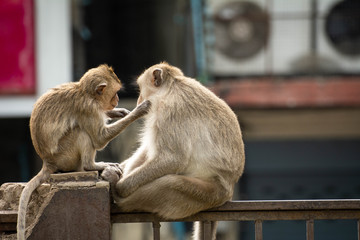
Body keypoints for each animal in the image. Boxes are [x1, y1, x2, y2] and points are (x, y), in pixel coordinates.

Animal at [17, 63, 150, 240]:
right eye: (115, 92)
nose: (117, 100)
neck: (86, 93)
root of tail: (47, 162)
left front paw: (118, 112)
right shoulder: (88, 108)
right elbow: (99, 139)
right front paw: (139, 110)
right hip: (65, 156)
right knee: (81, 132)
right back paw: (91, 166)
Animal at [102, 62, 246, 240]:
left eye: (141, 90)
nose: (139, 101)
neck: (172, 87)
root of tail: (230, 188)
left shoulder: (169, 110)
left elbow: (174, 158)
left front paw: (121, 186)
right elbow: (150, 150)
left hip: (206, 193)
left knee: (170, 182)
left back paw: (117, 193)